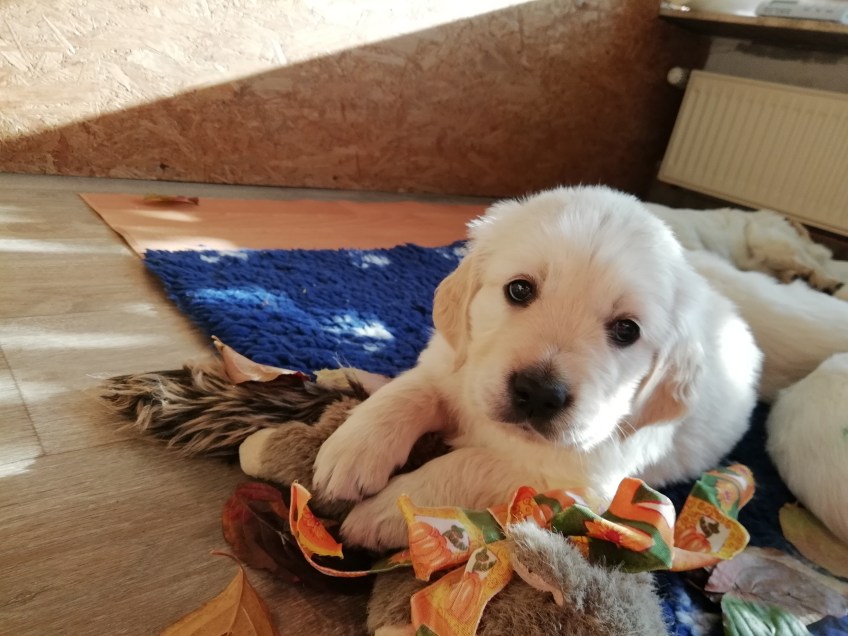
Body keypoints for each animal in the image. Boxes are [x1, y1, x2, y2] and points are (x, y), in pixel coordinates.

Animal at [313, 186, 763, 550]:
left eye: (626, 330)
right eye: (519, 289)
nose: (538, 393)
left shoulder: (574, 481)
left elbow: (471, 463)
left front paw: (385, 512)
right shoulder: (454, 366)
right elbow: (412, 390)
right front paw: (350, 450)